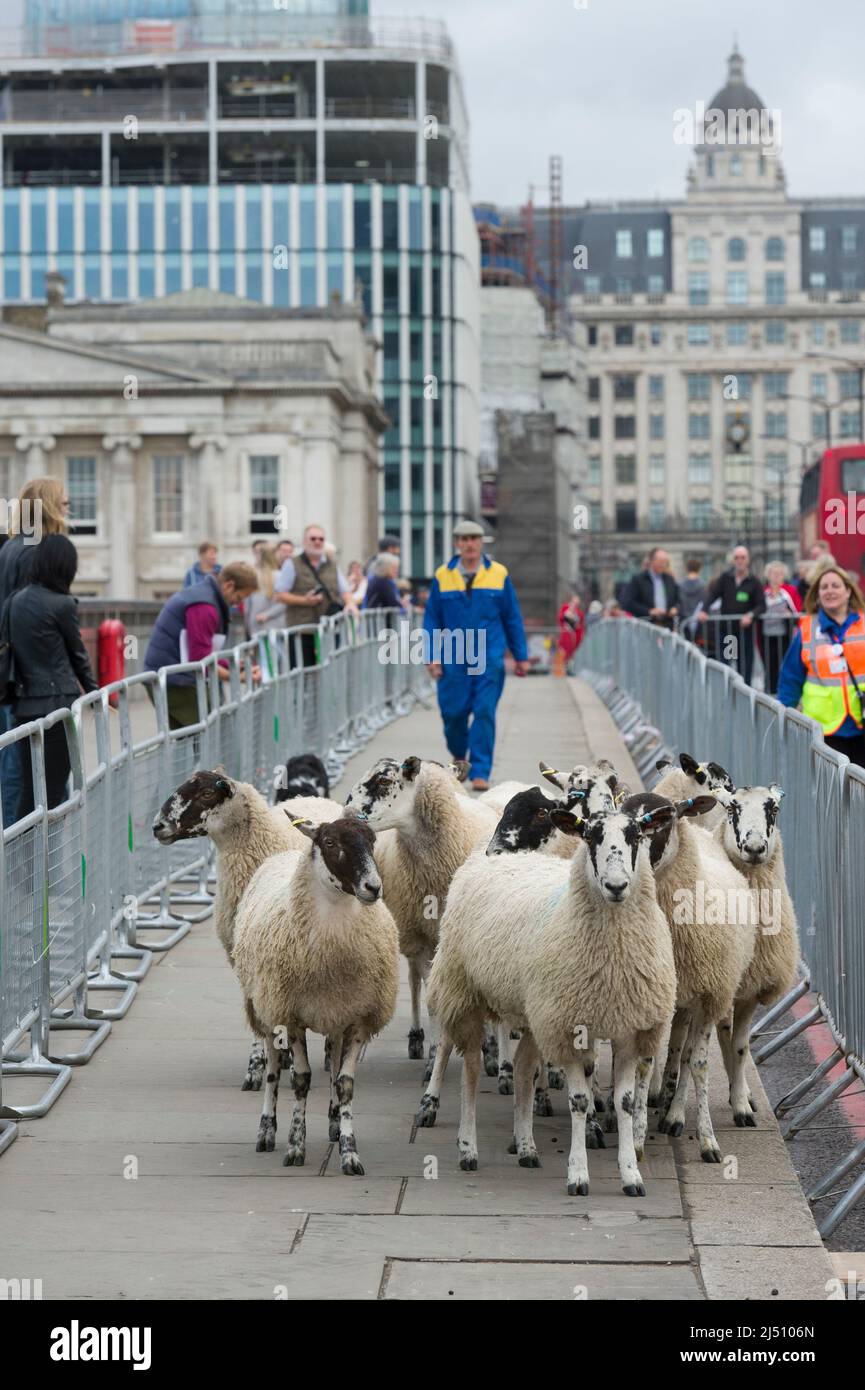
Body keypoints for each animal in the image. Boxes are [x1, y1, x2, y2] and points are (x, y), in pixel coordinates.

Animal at [232, 813, 399, 1174]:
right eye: (330, 843)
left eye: (372, 842)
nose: (373, 888)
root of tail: (281, 855)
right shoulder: (290, 1017)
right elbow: (301, 1080)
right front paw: (295, 1146)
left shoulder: (358, 1018)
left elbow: (344, 1083)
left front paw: (349, 1152)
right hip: (266, 1008)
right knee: (272, 1071)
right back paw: (266, 1131)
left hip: (334, 1015)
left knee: (334, 1064)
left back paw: (334, 1124)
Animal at [344, 755, 498, 1068]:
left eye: (384, 780)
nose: (347, 812)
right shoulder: (423, 939)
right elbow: (431, 999)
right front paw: (433, 1057)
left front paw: (487, 1052)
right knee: (415, 982)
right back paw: (416, 1039)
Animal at [423, 801, 678, 1196]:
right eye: (590, 836)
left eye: (637, 836)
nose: (616, 886)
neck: (613, 960)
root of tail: (495, 854)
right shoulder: (567, 1027)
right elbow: (579, 1101)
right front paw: (578, 1174)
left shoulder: (629, 1030)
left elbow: (624, 1103)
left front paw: (631, 1175)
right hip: (462, 989)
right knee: (470, 1068)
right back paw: (467, 1148)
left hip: (532, 1010)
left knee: (523, 1067)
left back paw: (526, 1146)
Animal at [618, 791, 757, 1161]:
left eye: (664, 819)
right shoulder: (653, 999)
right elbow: (645, 1064)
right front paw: (636, 1137)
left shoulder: (711, 998)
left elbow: (698, 1065)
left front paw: (708, 1141)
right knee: (676, 1049)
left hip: (696, 998)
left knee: (685, 1055)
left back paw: (675, 1115)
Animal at [710, 783, 800, 1127]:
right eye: (732, 807)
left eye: (773, 808)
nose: (754, 847)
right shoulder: (724, 980)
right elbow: (725, 1037)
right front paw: (738, 1101)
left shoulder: (751, 985)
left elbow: (739, 1046)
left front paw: (742, 1101)